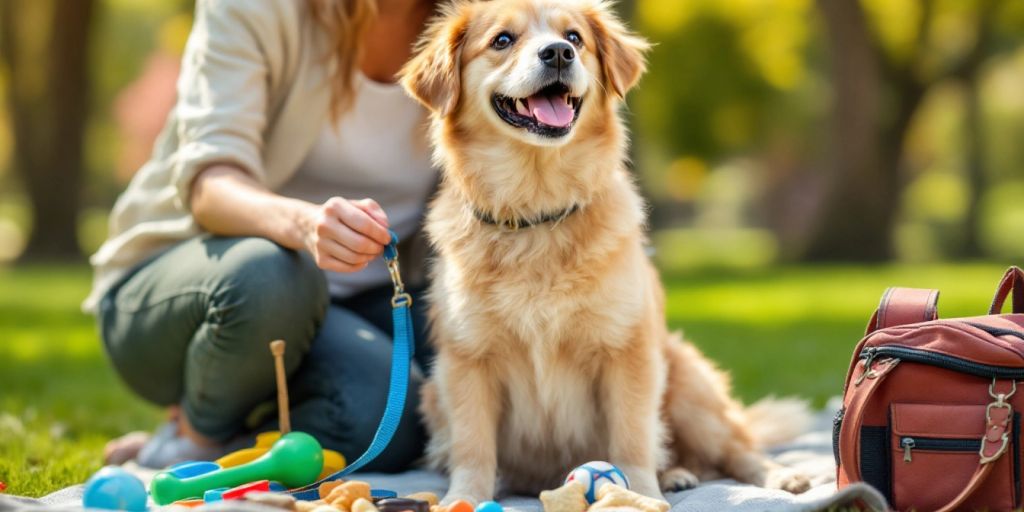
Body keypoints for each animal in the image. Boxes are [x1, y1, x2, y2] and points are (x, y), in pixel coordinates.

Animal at [397, 0, 806, 503]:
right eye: (502, 40)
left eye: (574, 37)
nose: (557, 53)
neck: (538, 210)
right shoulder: (466, 360)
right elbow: (473, 445)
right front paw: (466, 499)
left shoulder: (627, 351)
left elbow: (632, 435)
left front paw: (643, 495)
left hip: (687, 382)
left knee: (732, 448)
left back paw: (772, 475)